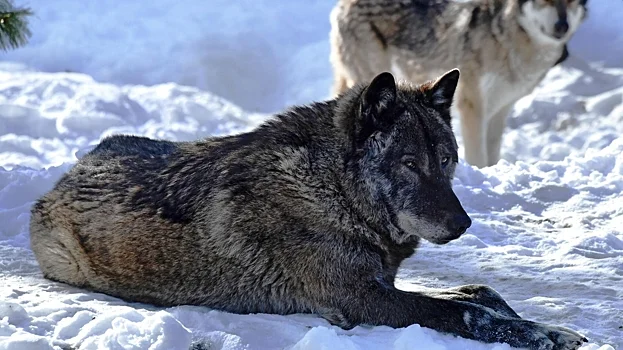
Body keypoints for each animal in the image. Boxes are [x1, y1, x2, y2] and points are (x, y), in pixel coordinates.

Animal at [28, 69, 584, 348]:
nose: (463, 224)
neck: (333, 191)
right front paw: (546, 334)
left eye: (446, 161)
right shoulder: (361, 300)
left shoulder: (381, 283)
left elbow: (481, 292)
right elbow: (465, 310)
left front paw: (548, 325)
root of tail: (73, 168)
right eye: (409, 164)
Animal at [332, 0, 588, 168]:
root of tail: (345, 4)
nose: (562, 26)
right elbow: (478, 156)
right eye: (545, 1)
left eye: (570, 2)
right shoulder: (472, 105)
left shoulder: (501, 109)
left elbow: (492, 152)